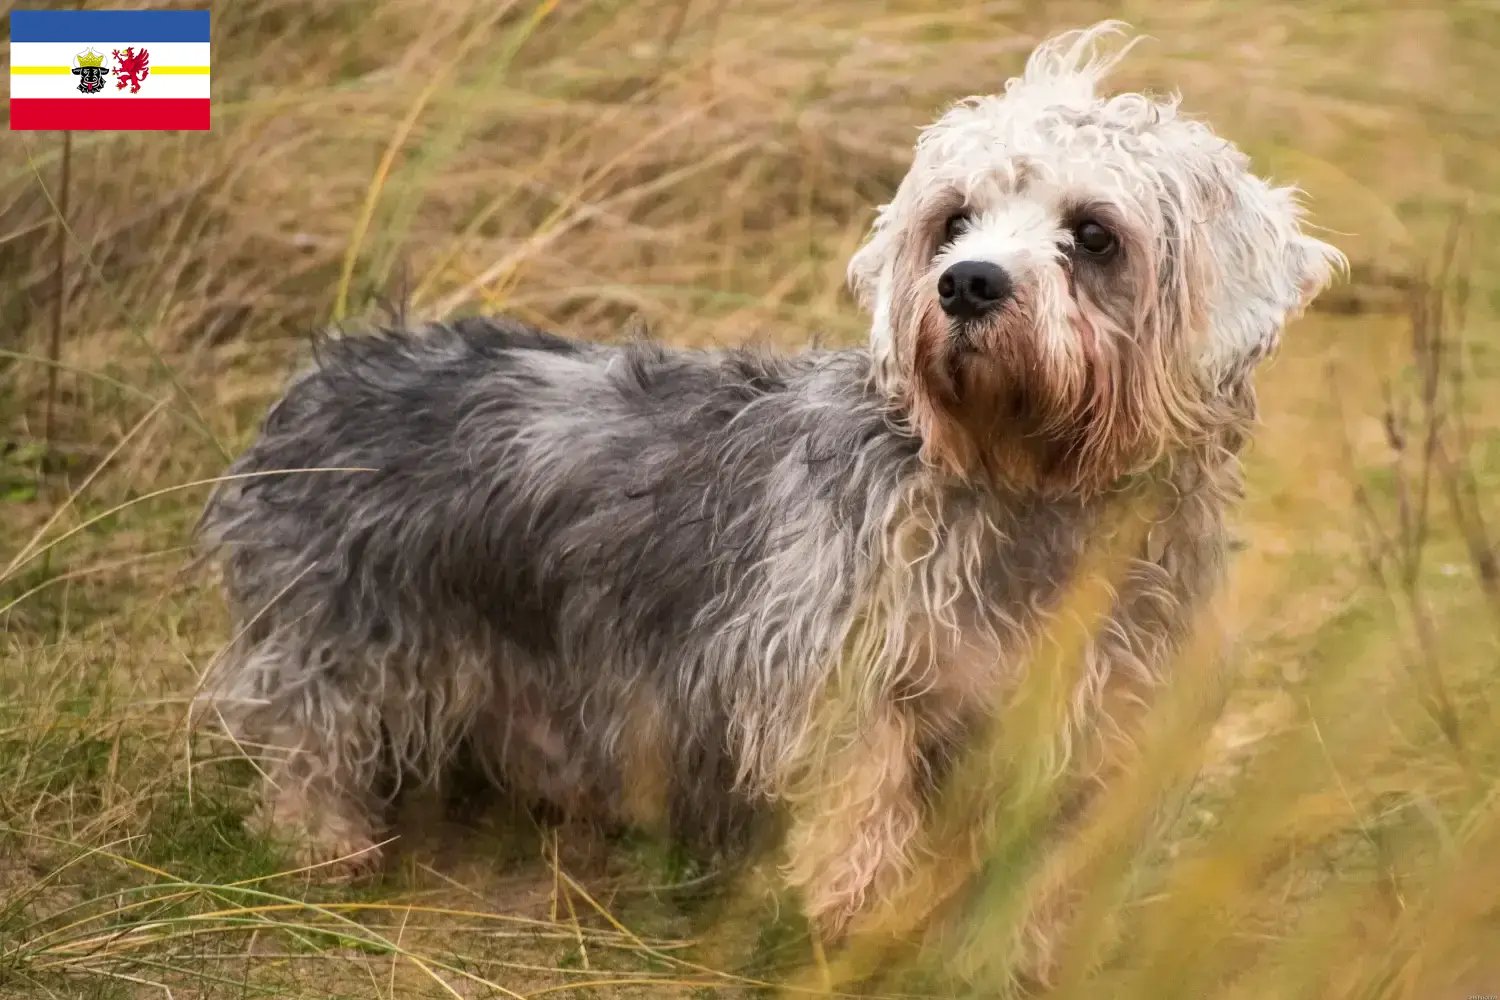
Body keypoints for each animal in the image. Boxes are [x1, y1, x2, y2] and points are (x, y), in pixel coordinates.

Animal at [196, 21, 1338, 983]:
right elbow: (860, 819)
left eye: (1094, 234)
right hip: (339, 642)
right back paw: (329, 850)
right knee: (303, 744)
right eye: (953, 220)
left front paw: (1019, 955)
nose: (966, 284)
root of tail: (340, 363)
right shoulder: (847, 686)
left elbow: (1042, 871)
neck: (1029, 495)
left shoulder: (1088, 725)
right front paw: (862, 931)